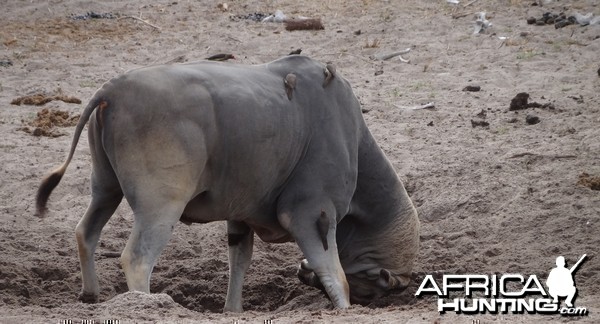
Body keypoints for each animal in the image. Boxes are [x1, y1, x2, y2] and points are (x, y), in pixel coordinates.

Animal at [35, 55, 420, 312]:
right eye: (372, 291)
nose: (301, 275)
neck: (352, 136)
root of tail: (110, 90)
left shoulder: (240, 217)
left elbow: (240, 260)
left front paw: (232, 311)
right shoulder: (311, 215)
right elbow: (335, 274)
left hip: (106, 189)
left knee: (85, 232)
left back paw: (90, 296)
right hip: (160, 208)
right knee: (137, 257)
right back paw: (147, 305)